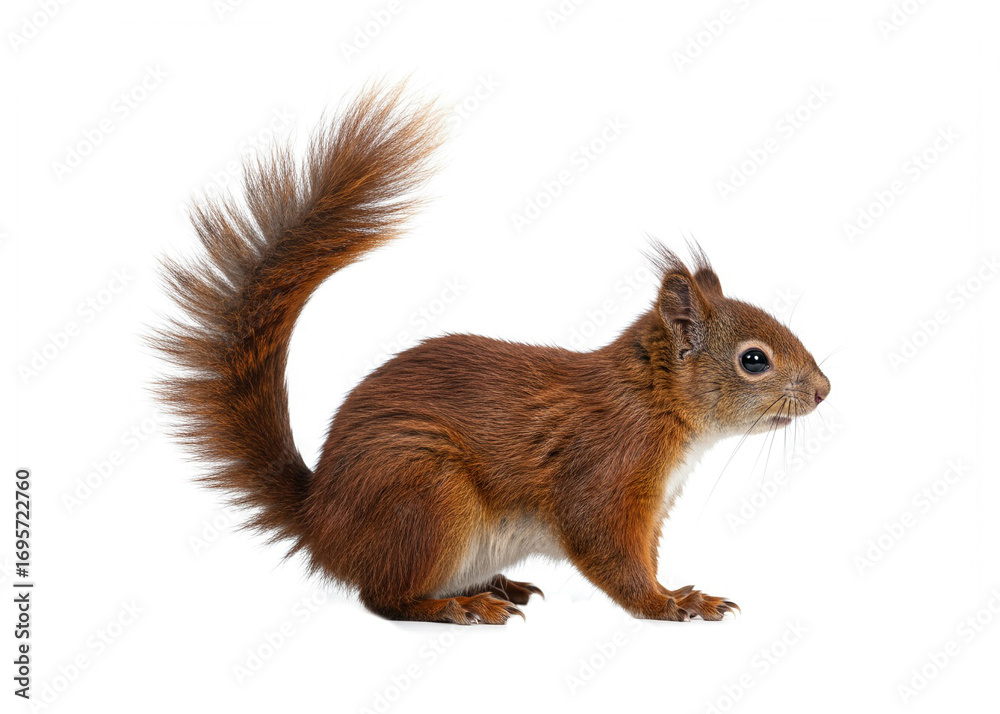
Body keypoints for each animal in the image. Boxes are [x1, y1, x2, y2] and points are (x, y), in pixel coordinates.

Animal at [154, 83, 830, 625]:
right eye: (753, 360)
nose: (825, 391)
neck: (655, 402)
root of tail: (321, 522)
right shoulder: (605, 476)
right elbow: (612, 556)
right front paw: (673, 603)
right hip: (428, 496)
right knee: (384, 598)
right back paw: (460, 607)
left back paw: (501, 585)